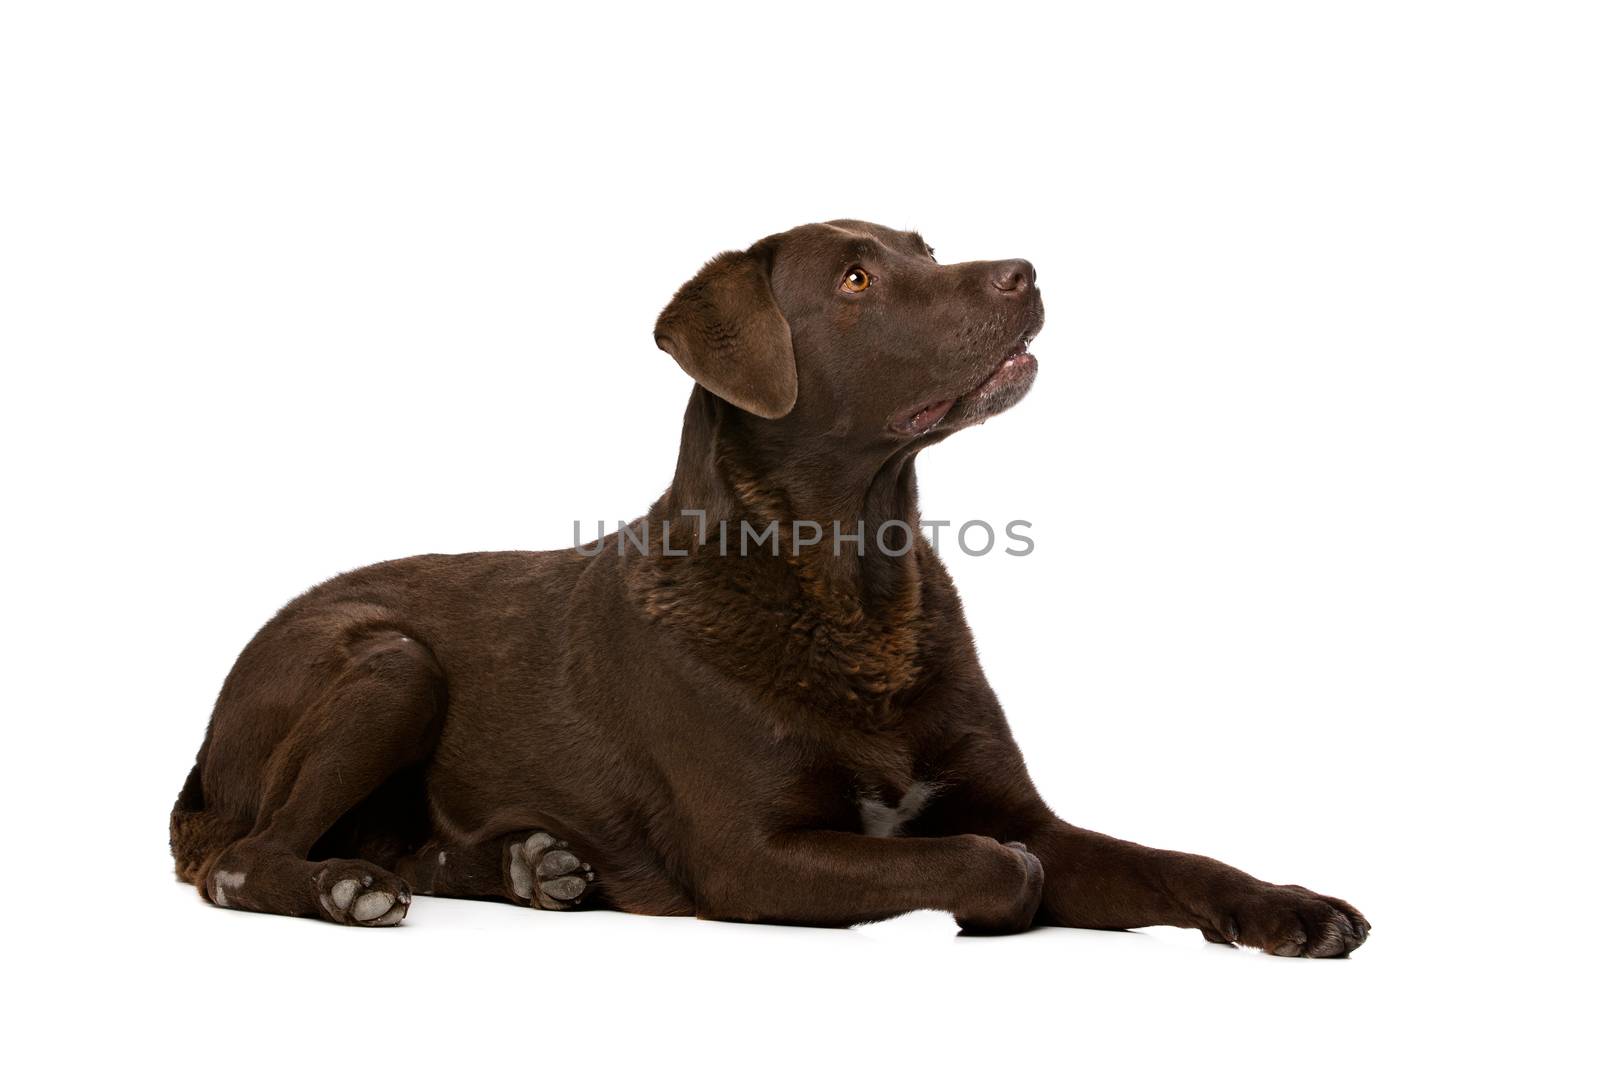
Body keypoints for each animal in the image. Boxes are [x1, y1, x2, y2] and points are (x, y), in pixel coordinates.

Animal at [178, 220, 1376, 953]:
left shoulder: (1022, 807)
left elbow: (1168, 858)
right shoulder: (751, 858)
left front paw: (1291, 906)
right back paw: (342, 887)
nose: (1026, 270)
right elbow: (995, 867)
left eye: (924, 245)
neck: (856, 585)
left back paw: (530, 864)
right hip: (388, 659)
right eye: (855, 278)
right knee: (241, 861)